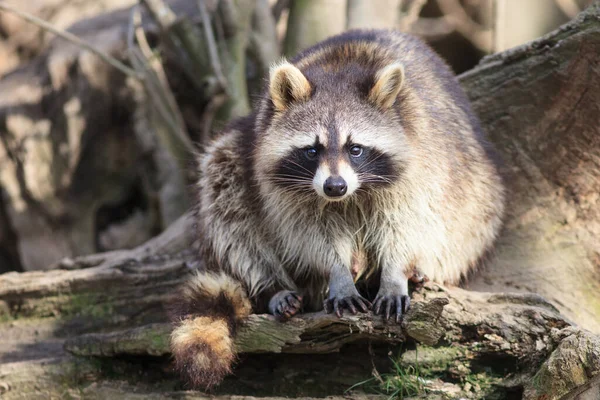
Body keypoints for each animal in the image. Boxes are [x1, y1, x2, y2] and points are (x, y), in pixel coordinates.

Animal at [169, 29, 506, 390]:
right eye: (312, 150)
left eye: (355, 149)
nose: (335, 187)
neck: (338, 71)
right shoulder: (279, 182)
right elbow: (307, 231)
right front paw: (338, 272)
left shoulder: (421, 162)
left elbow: (408, 221)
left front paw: (396, 272)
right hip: (235, 157)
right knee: (226, 197)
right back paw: (271, 286)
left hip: (478, 184)